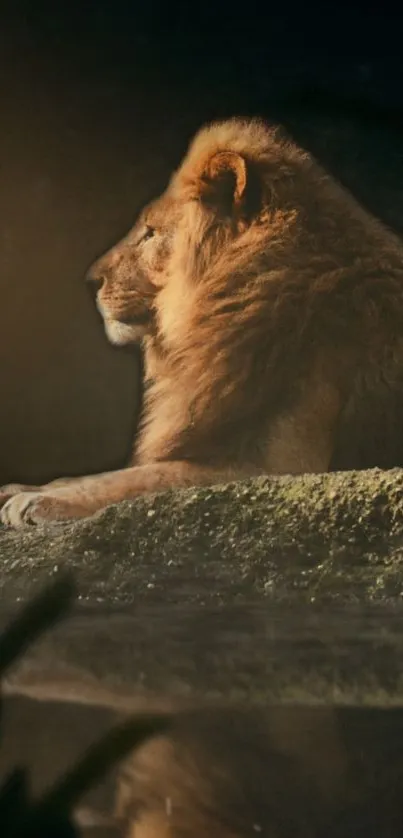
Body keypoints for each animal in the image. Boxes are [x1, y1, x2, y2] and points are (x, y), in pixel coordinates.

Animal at [2, 116, 403, 524]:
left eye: (151, 233)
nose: (89, 281)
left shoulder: (284, 467)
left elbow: (143, 479)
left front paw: (42, 500)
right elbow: (117, 472)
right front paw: (28, 486)